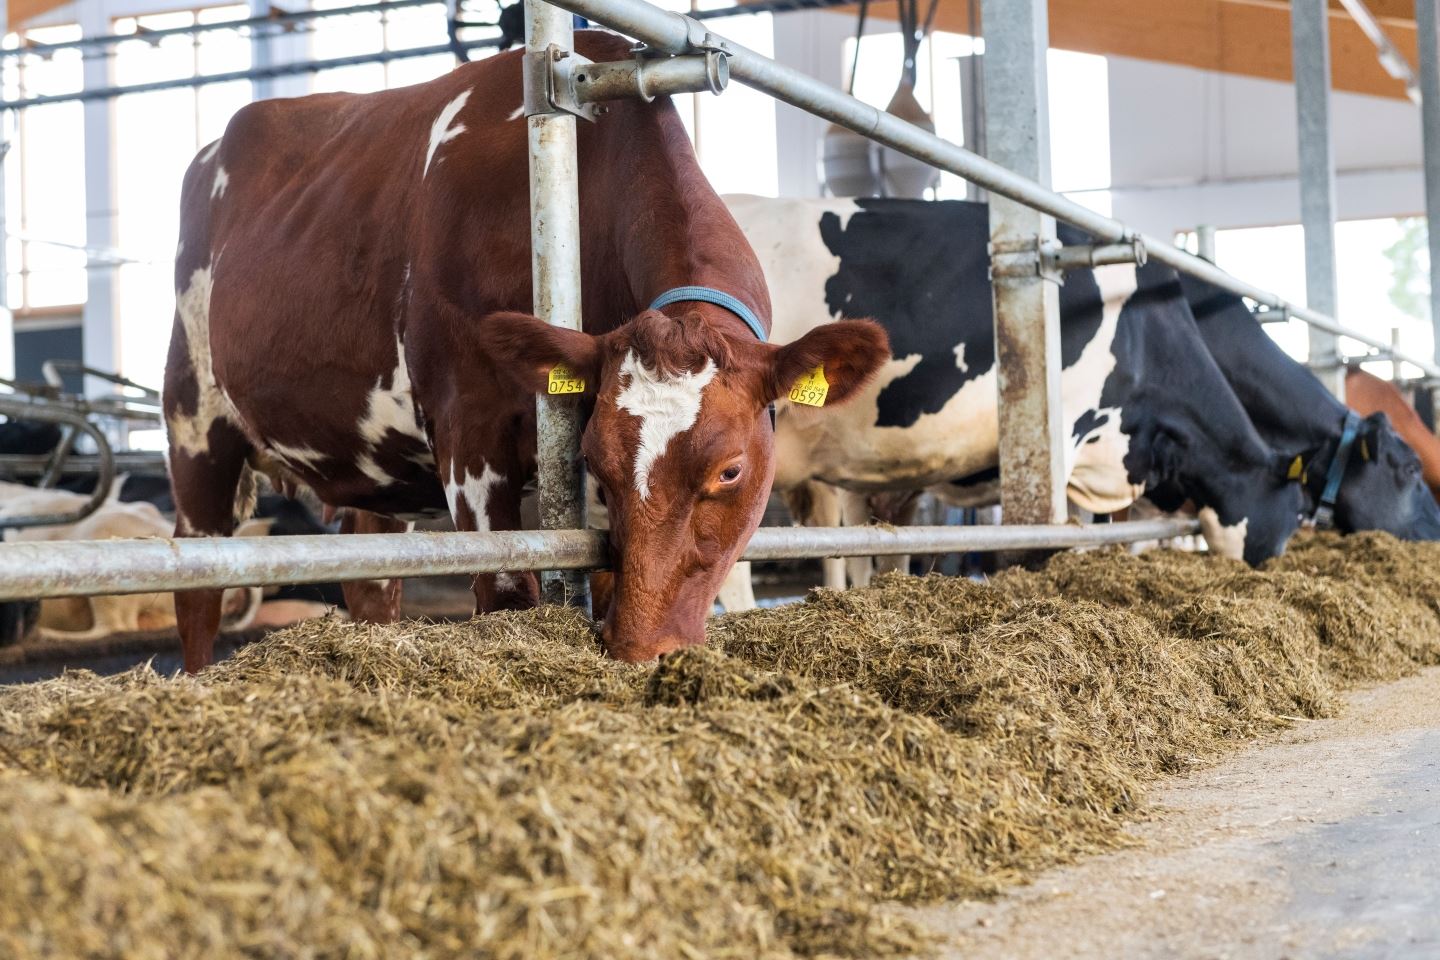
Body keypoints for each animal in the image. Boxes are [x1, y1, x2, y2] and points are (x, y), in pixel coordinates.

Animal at [168, 31, 887, 676]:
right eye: (597, 460)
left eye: (730, 471)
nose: (642, 648)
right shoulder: (470, 430)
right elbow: (509, 593)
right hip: (196, 426)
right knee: (198, 581)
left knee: (371, 579)